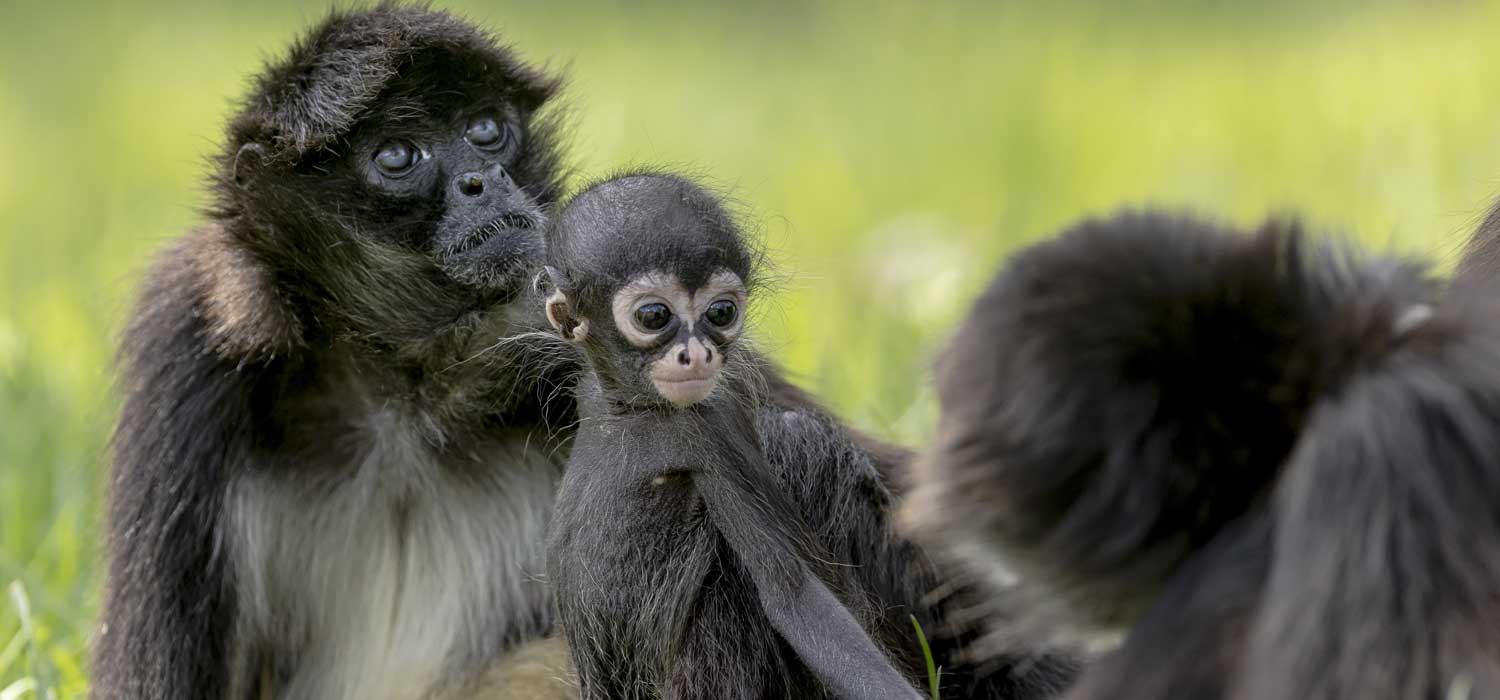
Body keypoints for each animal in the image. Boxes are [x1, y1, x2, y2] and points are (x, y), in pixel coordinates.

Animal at [540, 171, 912, 700]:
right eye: (653, 317)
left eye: (721, 312)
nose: (697, 354)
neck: (635, 413)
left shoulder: (712, 426)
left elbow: (792, 594)